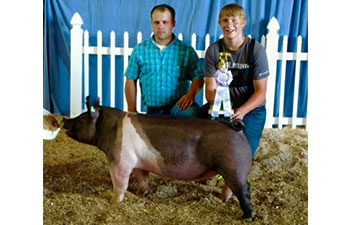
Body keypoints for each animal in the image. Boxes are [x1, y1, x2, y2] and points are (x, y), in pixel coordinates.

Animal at [62, 96, 254, 220]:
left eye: (82, 118)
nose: (64, 120)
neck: (110, 129)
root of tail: (234, 128)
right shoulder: (138, 164)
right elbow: (142, 178)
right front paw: (140, 194)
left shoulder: (121, 162)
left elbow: (120, 184)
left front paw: (113, 202)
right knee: (230, 188)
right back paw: (222, 200)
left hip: (233, 167)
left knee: (244, 189)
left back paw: (247, 217)